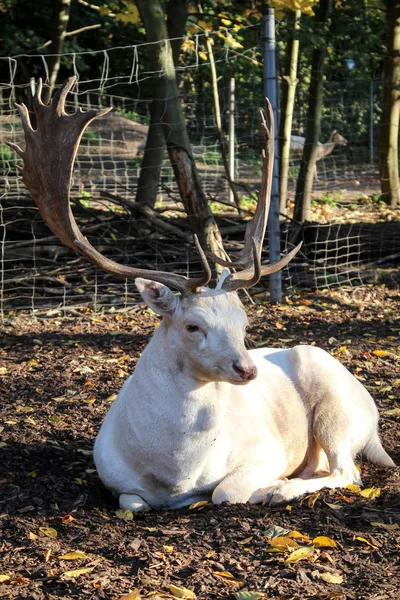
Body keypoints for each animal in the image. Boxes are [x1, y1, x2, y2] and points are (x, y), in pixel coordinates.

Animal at [10, 78, 396, 510]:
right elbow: (133, 501)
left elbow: (224, 491)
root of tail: (373, 417)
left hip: (336, 406)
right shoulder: (113, 478)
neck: (177, 475)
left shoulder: (266, 451)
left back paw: (282, 488)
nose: (247, 370)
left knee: (349, 471)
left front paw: (267, 486)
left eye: (245, 323)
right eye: (193, 326)